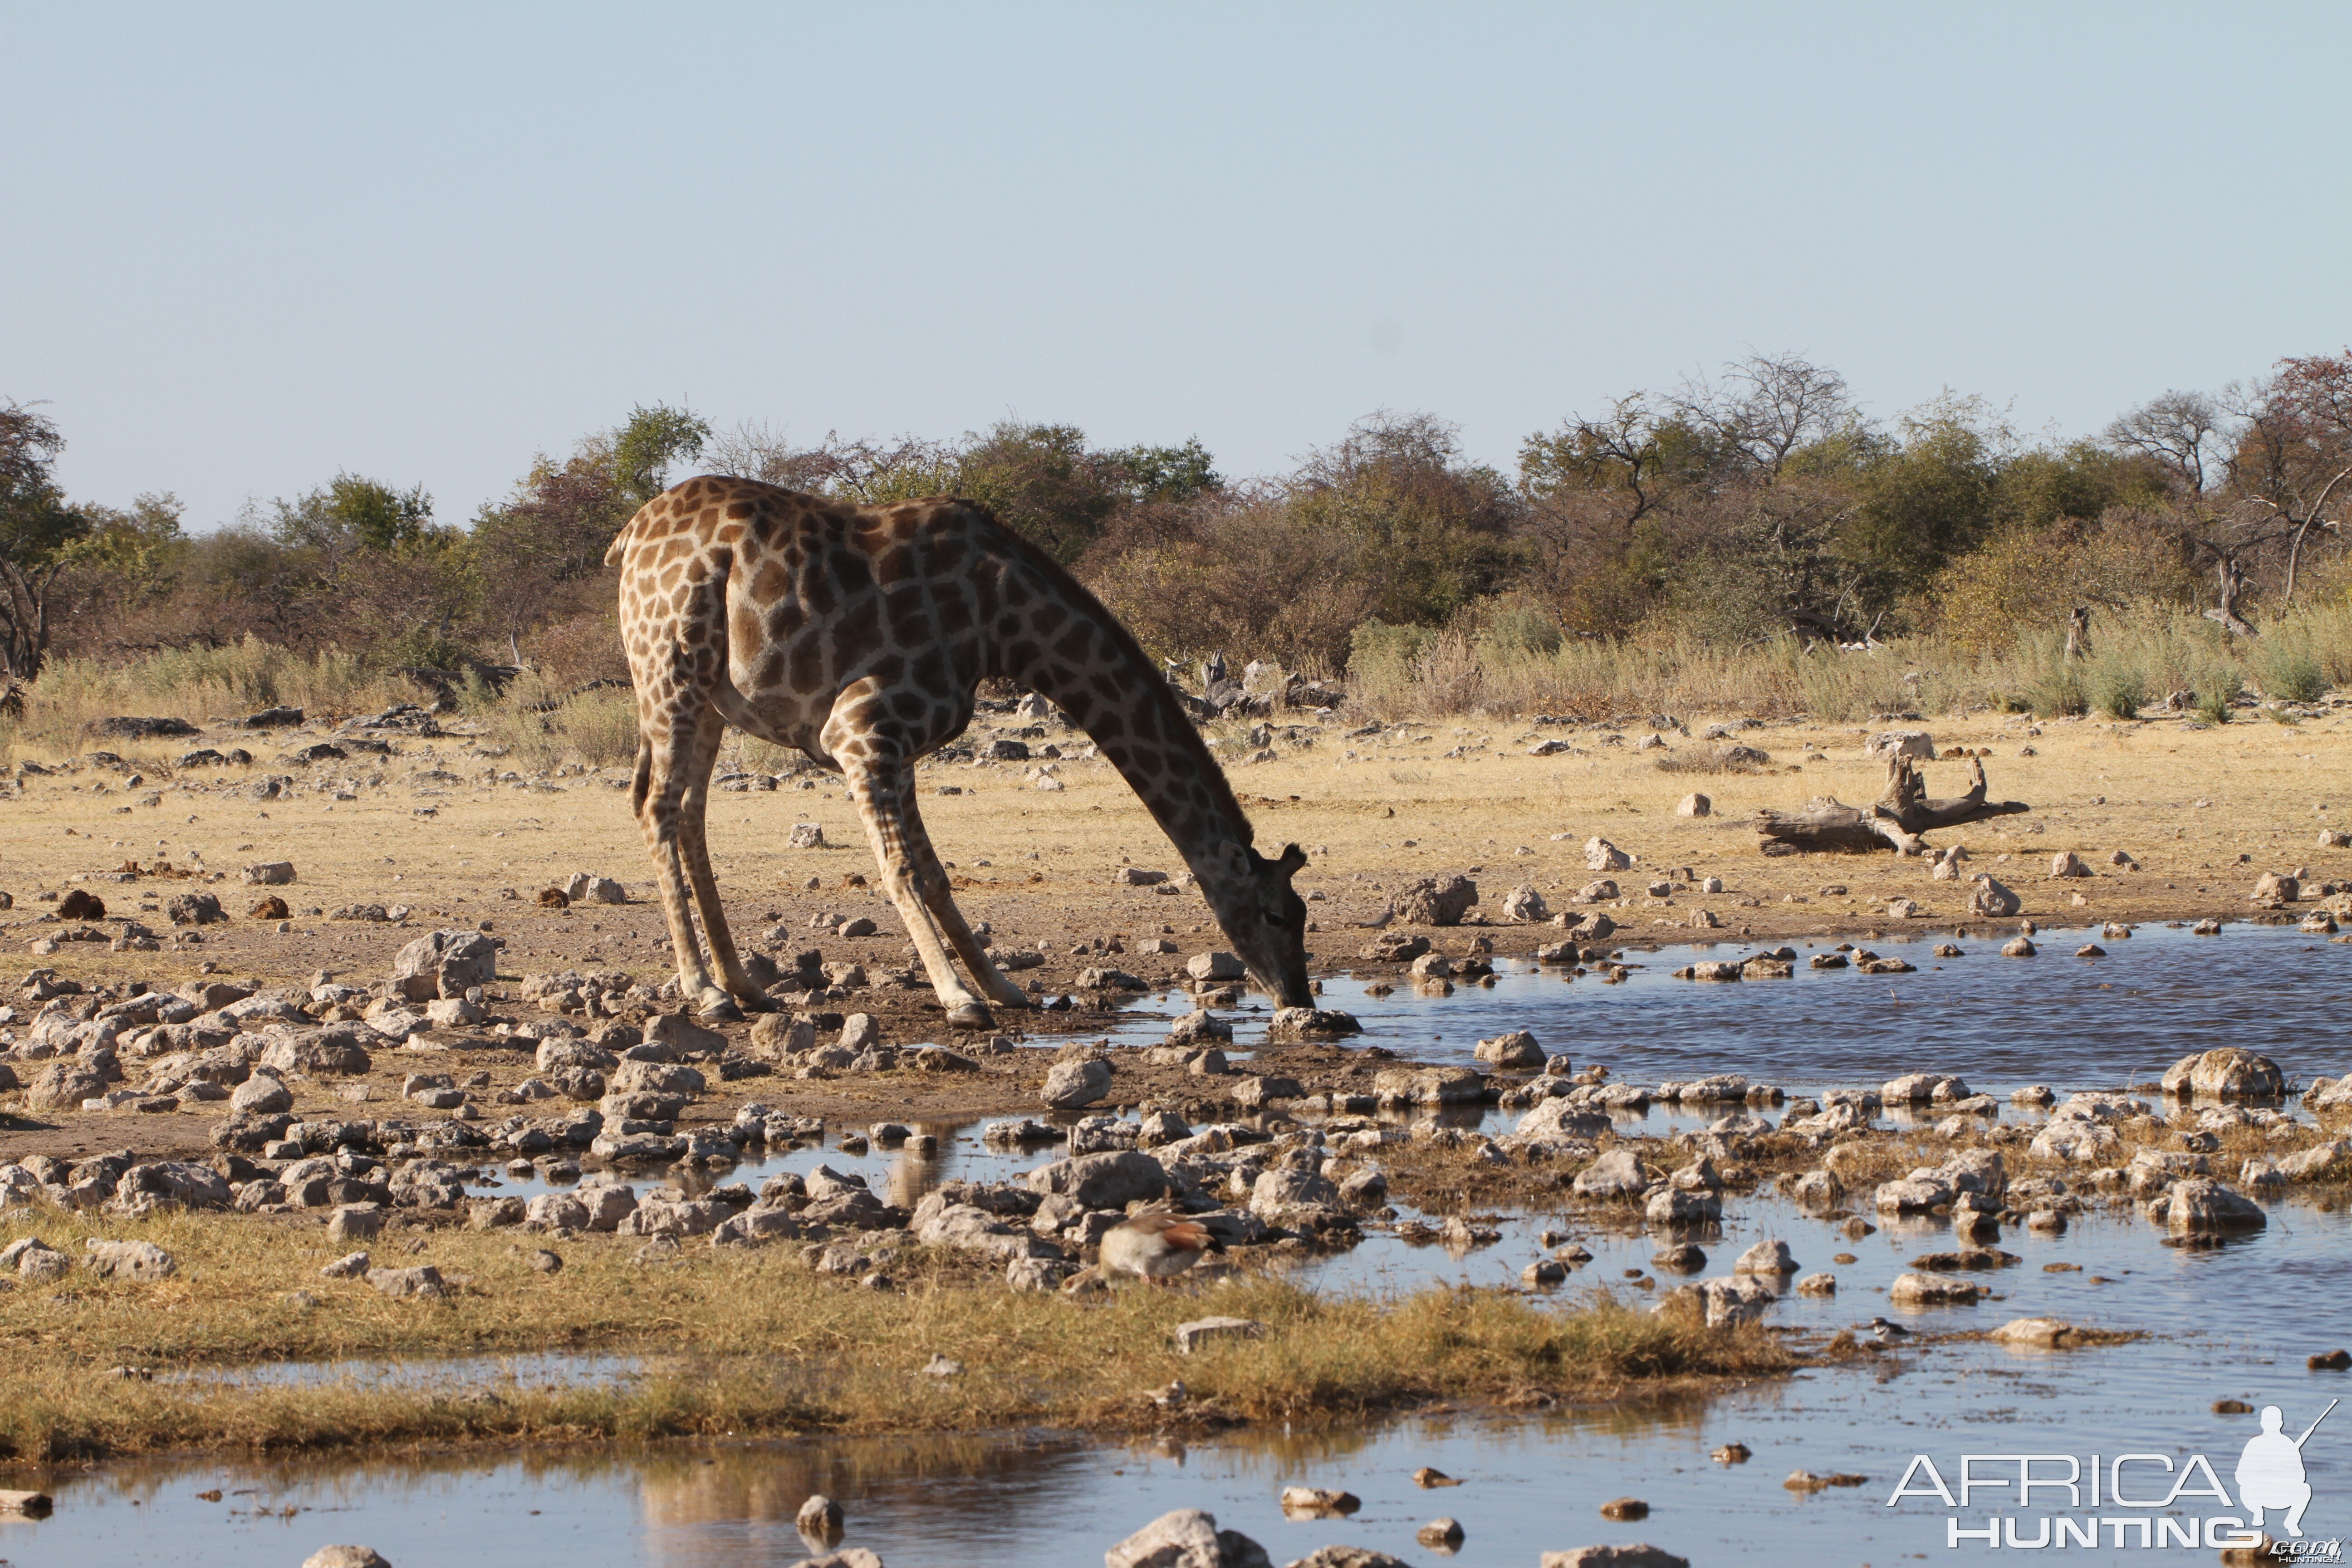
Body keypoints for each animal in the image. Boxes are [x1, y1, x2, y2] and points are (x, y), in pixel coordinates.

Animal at [597, 475, 1317, 1029]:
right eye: (1278, 914)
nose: (1299, 999)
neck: (1004, 621)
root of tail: (628, 536)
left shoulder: (903, 748)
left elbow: (936, 874)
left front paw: (1002, 987)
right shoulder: (863, 731)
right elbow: (902, 870)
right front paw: (959, 999)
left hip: (708, 696)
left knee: (689, 812)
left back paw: (745, 986)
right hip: (670, 668)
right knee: (658, 808)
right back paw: (707, 993)